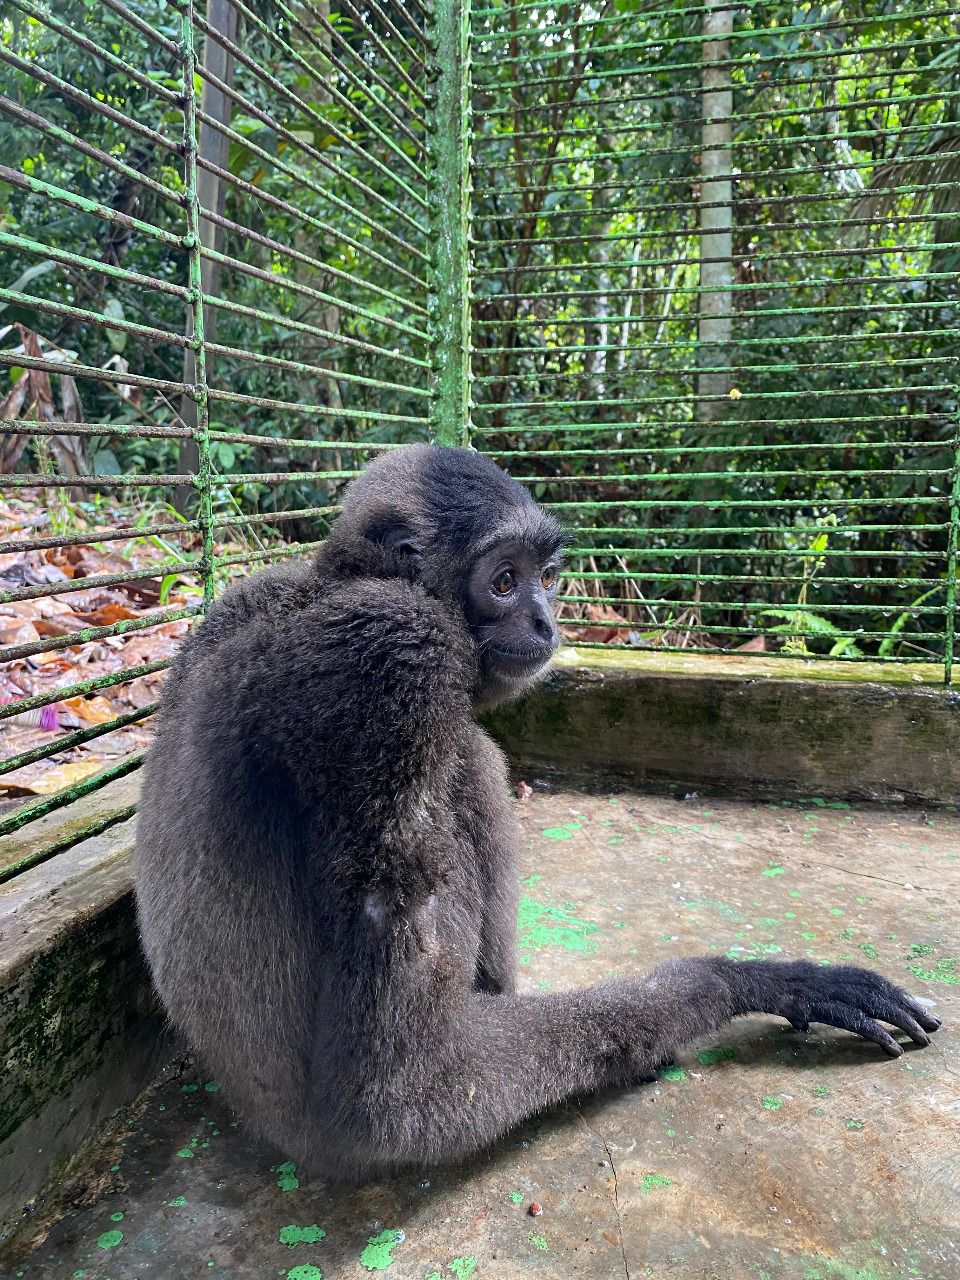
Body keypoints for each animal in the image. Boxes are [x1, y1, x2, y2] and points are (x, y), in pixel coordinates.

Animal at [134, 444, 941, 1183]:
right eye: (503, 582)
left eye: (550, 579)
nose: (549, 623)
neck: (324, 588)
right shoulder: (397, 654)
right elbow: (397, 1097)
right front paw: (745, 982)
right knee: (472, 761)